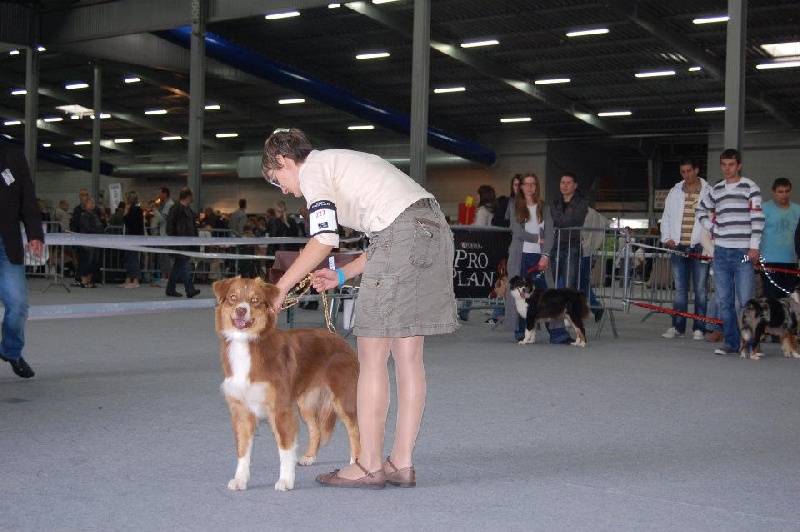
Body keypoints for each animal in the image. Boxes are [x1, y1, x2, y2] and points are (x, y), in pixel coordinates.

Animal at [213, 276, 360, 491]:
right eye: (233, 297)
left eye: (255, 300)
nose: (241, 310)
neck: (248, 344)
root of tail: (337, 336)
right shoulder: (241, 410)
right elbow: (243, 451)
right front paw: (240, 480)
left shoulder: (280, 408)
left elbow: (285, 449)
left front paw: (286, 480)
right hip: (305, 403)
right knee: (315, 428)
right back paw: (309, 457)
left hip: (342, 398)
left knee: (354, 429)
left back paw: (355, 463)